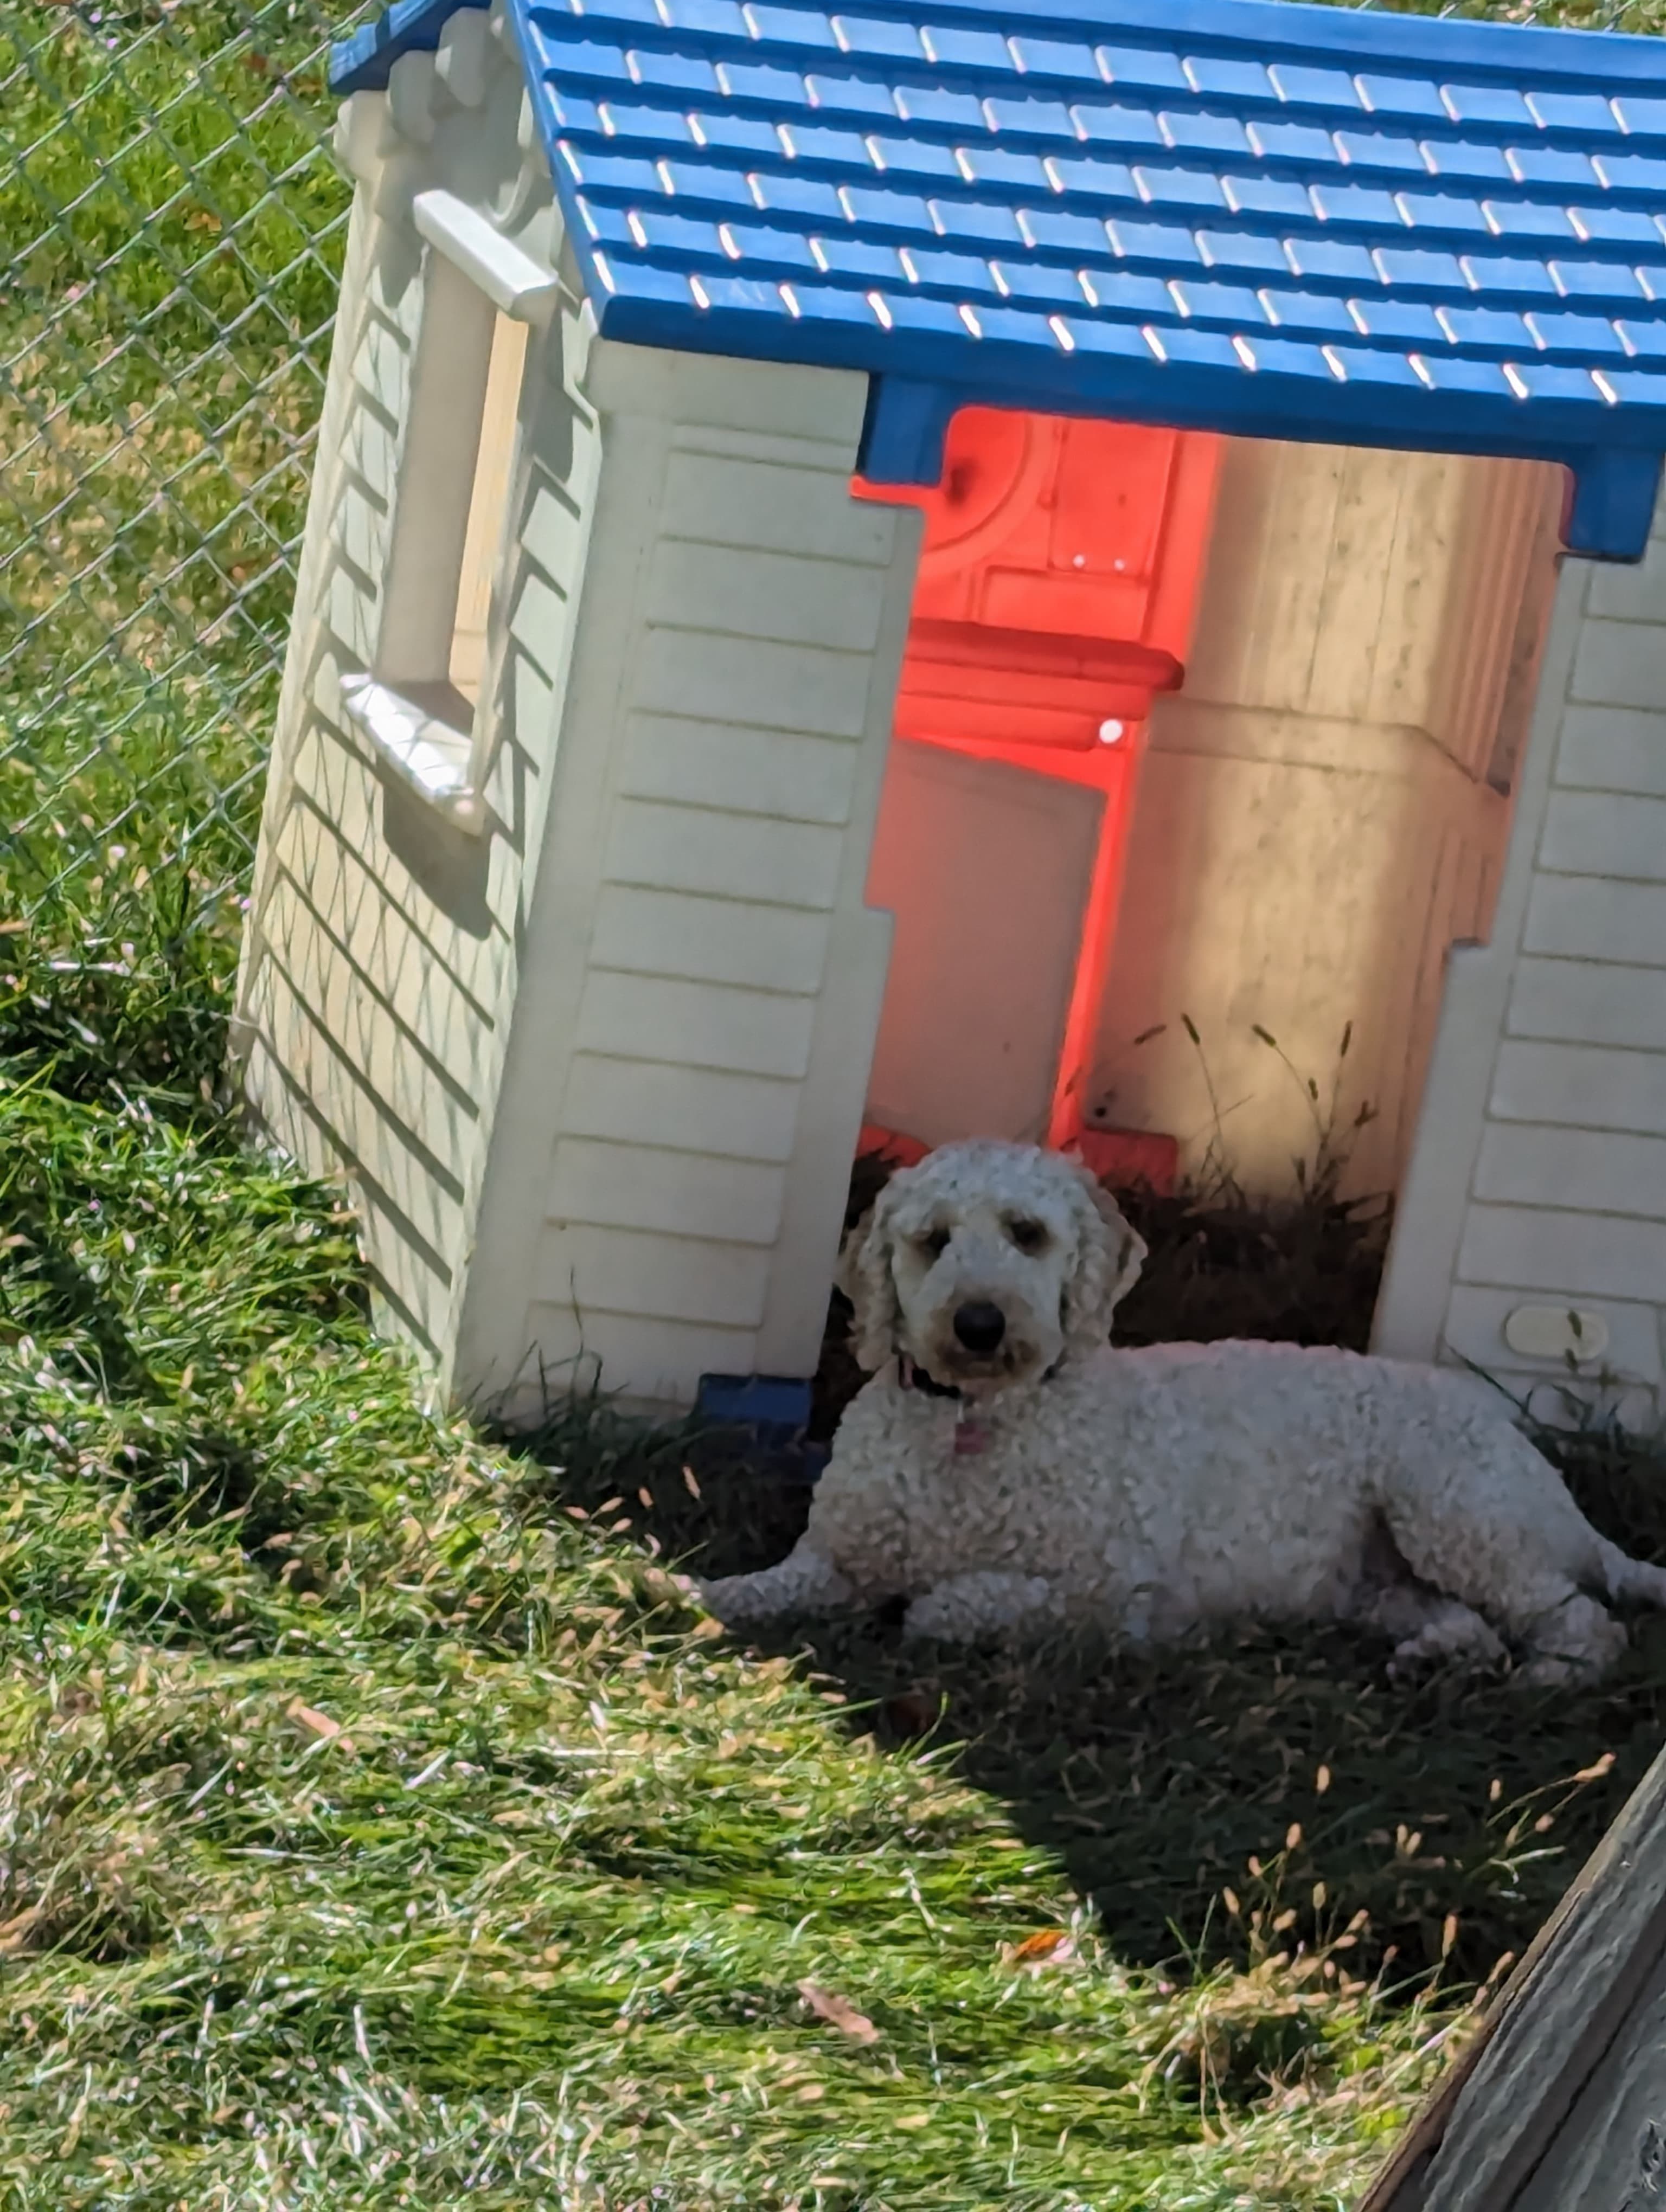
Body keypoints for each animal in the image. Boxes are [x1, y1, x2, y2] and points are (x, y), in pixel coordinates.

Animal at [699, 1141, 1663, 1672]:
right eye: (931, 1241)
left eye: (1027, 1233)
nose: (979, 1323)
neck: (973, 1424)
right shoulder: (833, 1560)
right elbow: (761, 1588)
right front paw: (687, 1591)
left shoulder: (1100, 1590)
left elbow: (944, 1606)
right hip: (1381, 1582)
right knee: (1470, 1622)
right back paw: (1437, 1659)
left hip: (1455, 1511)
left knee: (1583, 1621)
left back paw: (1553, 1672)